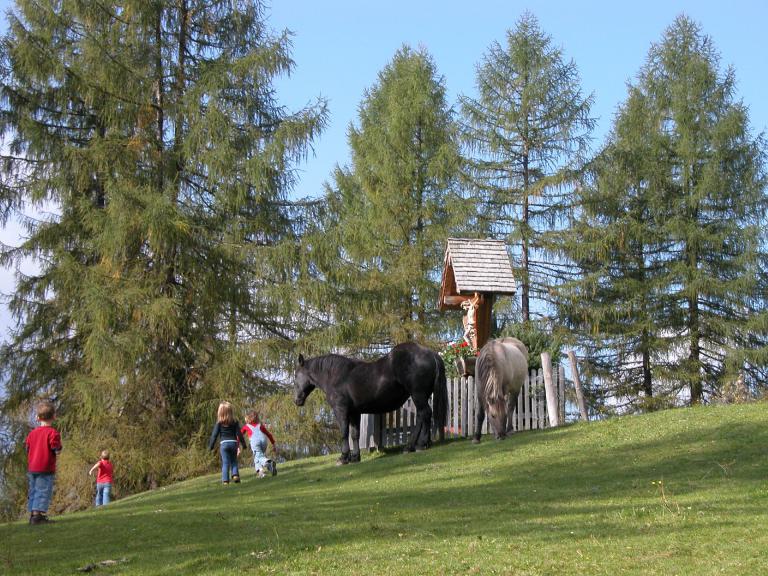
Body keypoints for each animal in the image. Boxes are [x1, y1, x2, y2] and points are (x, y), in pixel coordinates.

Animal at [294, 342, 450, 464]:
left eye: (296, 376)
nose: (296, 400)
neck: (336, 376)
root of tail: (430, 353)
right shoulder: (354, 412)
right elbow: (355, 434)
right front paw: (355, 457)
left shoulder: (341, 410)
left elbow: (344, 432)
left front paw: (343, 458)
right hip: (421, 396)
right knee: (422, 416)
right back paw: (417, 445)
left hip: (418, 395)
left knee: (425, 414)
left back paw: (420, 445)